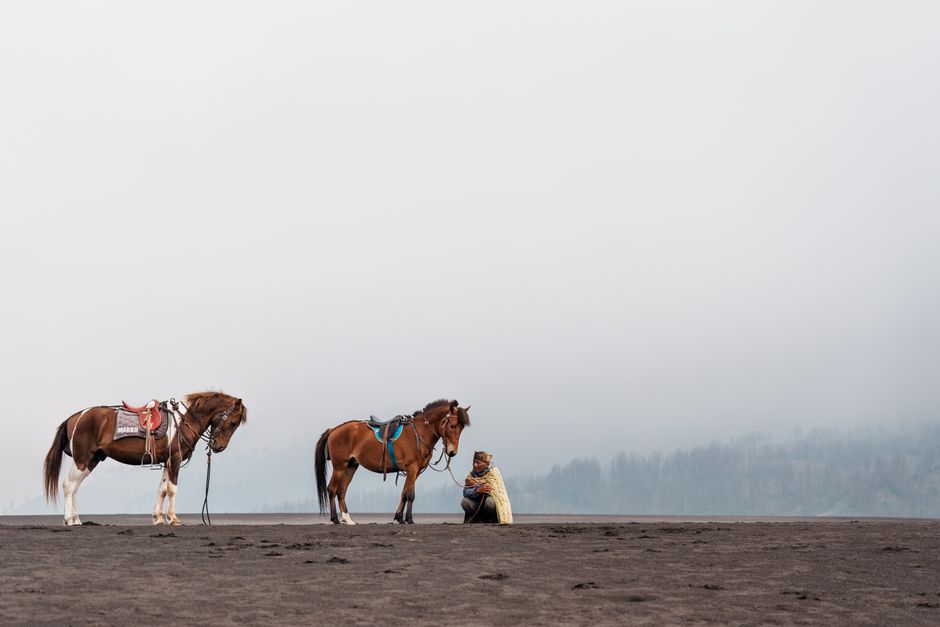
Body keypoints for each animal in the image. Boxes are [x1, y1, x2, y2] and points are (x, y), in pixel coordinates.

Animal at [43, 391, 247, 526]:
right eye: (233, 422)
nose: (219, 447)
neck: (183, 420)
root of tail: (75, 417)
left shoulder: (167, 461)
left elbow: (162, 490)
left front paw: (158, 518)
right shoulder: (175, 459)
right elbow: (172, 489)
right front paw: (173, 518)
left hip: (91, 461)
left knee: (75, 487)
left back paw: (76, 519)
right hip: (82, 459)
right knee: (68, 485)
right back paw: (69, 520)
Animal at [315, 399, 470, 524]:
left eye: (462, 427)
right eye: (452, 425)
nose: (452, 452)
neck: (419, 432)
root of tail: (334, 430)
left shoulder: (414, 472)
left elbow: (404, 494)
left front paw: (399, 517)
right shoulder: (412, 468)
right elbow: (411, 495)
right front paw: (409, 519)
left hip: (351, 466)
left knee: (341, 491)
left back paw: (347, 519)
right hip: (340, 467)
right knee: (332, 489)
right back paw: (335, 519)